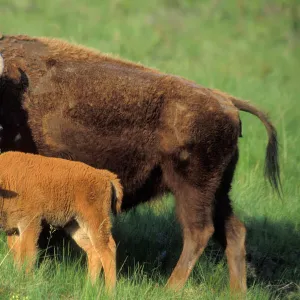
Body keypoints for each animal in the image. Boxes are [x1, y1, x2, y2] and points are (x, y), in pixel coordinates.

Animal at [0, 151, 123, 292]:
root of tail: (104, 175)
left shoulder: (31, 223)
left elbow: (27, 253)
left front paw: (25, 280)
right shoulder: (14, 229)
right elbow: (16, 254)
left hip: (95, 220)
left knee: (108, 249)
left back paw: (109, 292)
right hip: (76, 225)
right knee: (93, 250)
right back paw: (89, 287)